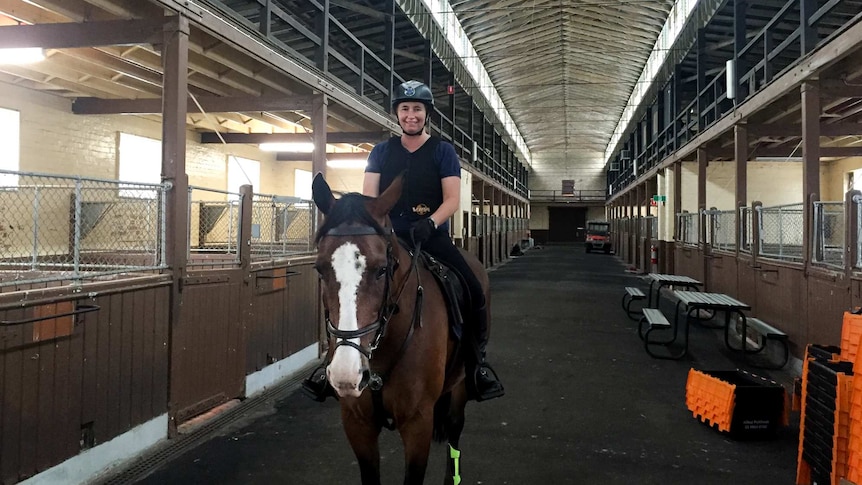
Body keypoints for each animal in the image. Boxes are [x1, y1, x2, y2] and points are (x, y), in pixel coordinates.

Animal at [310, 174, 490, 484]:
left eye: (382, 269)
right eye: (320, 270)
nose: (347, 374)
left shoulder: (418, 423)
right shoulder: (357, 423)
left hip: (461, 386)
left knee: (454, 433)